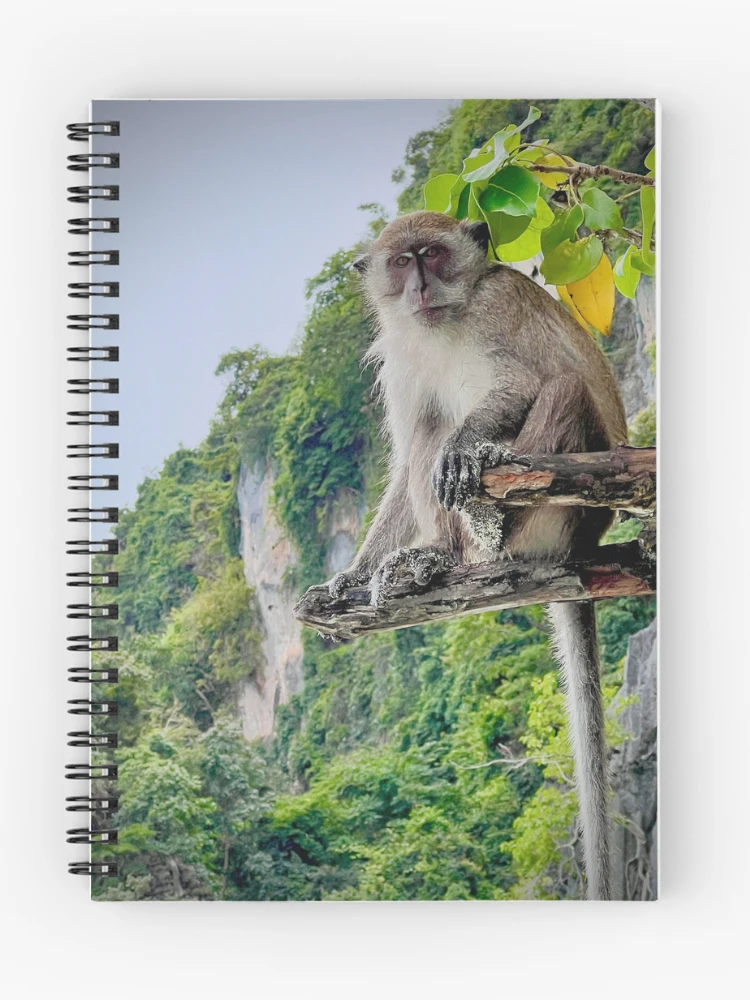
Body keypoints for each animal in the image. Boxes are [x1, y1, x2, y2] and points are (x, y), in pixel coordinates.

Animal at [327, 211, 628, 901]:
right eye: (402, 262)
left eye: (433, 254)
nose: (419, 287)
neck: (446, 321)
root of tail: (583, 547)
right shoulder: (401, 356)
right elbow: (407, 452)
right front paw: (353, 575)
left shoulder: (495, 308)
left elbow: (517, 383)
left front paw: (469, 447)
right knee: (428, 431)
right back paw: (433, 557)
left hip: (561, 513)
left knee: (559, 389)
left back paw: (487, 529)